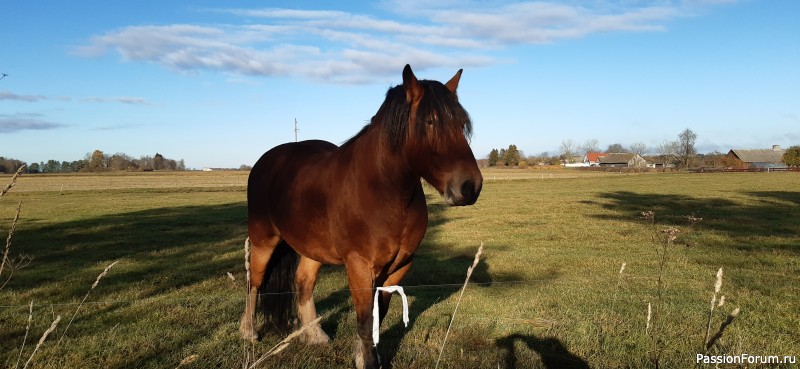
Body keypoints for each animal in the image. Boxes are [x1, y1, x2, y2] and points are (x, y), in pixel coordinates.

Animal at [239, 64, 482, 366]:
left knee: (303, 282)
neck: (384, 191)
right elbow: (365, 318)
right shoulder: (359, 265)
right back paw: (249, 332)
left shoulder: (399, 267)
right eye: (429, 122)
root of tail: (267, 160)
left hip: (312, 247)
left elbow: (379, 313)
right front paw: (366, 361)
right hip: (264, 240)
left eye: (461, 124)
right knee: (255, 281)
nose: (470, 187)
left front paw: (370, 355)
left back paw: (315, 335)